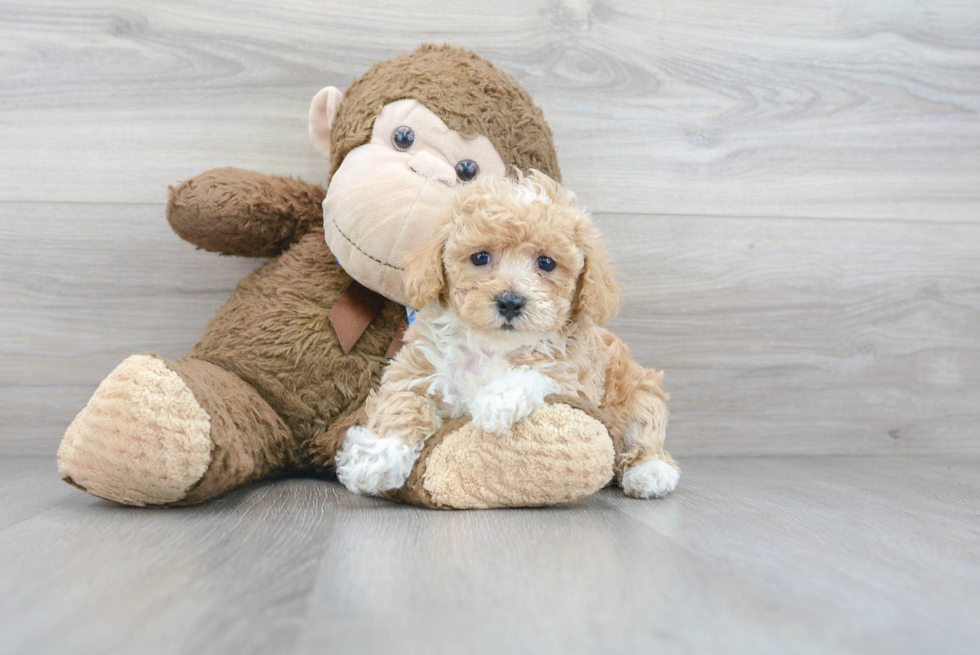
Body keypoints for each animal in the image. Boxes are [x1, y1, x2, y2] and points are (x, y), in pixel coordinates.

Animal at [334, 172, 676, 500]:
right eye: (480, 257)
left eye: (546, 262)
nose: (511, 301)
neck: (491, 346)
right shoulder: (414, 370)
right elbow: (402, 403)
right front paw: (376, 458)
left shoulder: (575, 380)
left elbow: (534, 372)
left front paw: (496, 402)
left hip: (639, 394)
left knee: (644, 431)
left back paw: (651, 472)